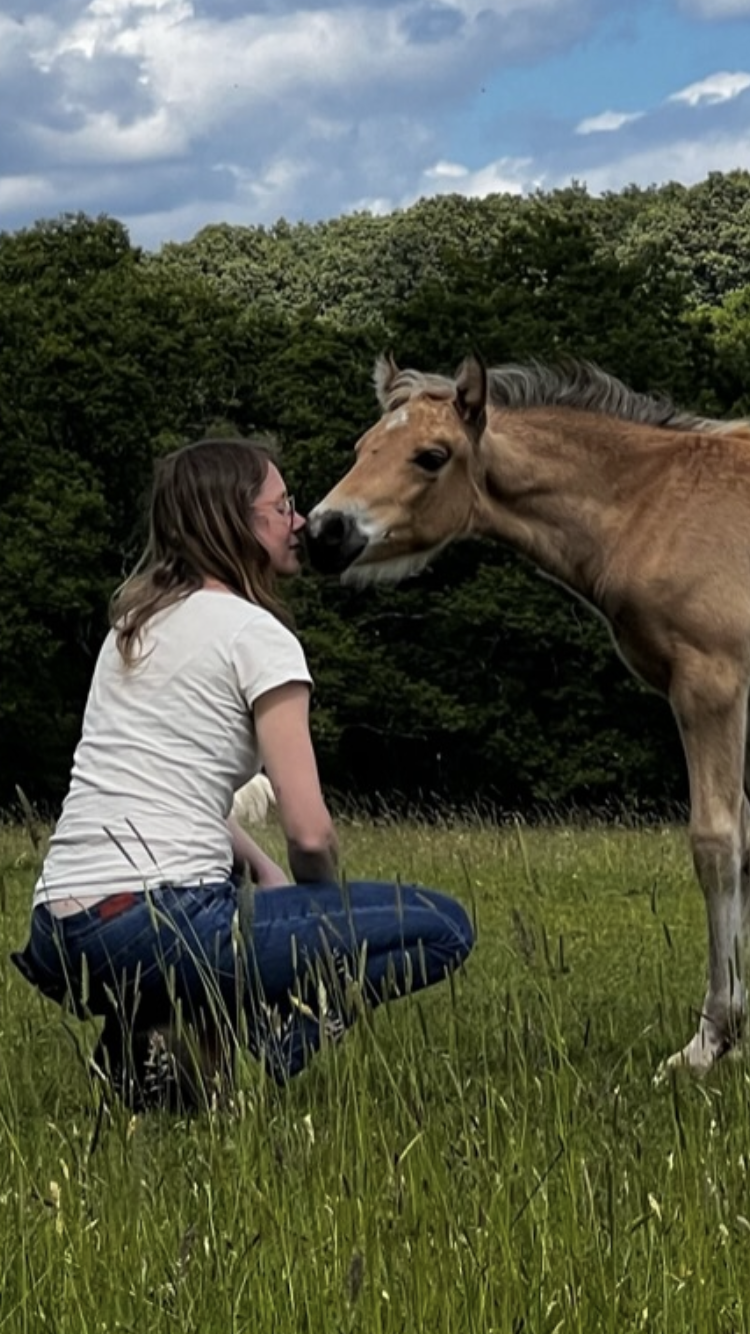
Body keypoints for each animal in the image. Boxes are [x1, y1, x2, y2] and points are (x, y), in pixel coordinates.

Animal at [305, 352, 750, 1077]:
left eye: (431, 456)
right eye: (362, 448)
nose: (322, 532)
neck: (656, 504)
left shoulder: (711, 683)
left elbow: (717, 844)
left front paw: (707, 1044)